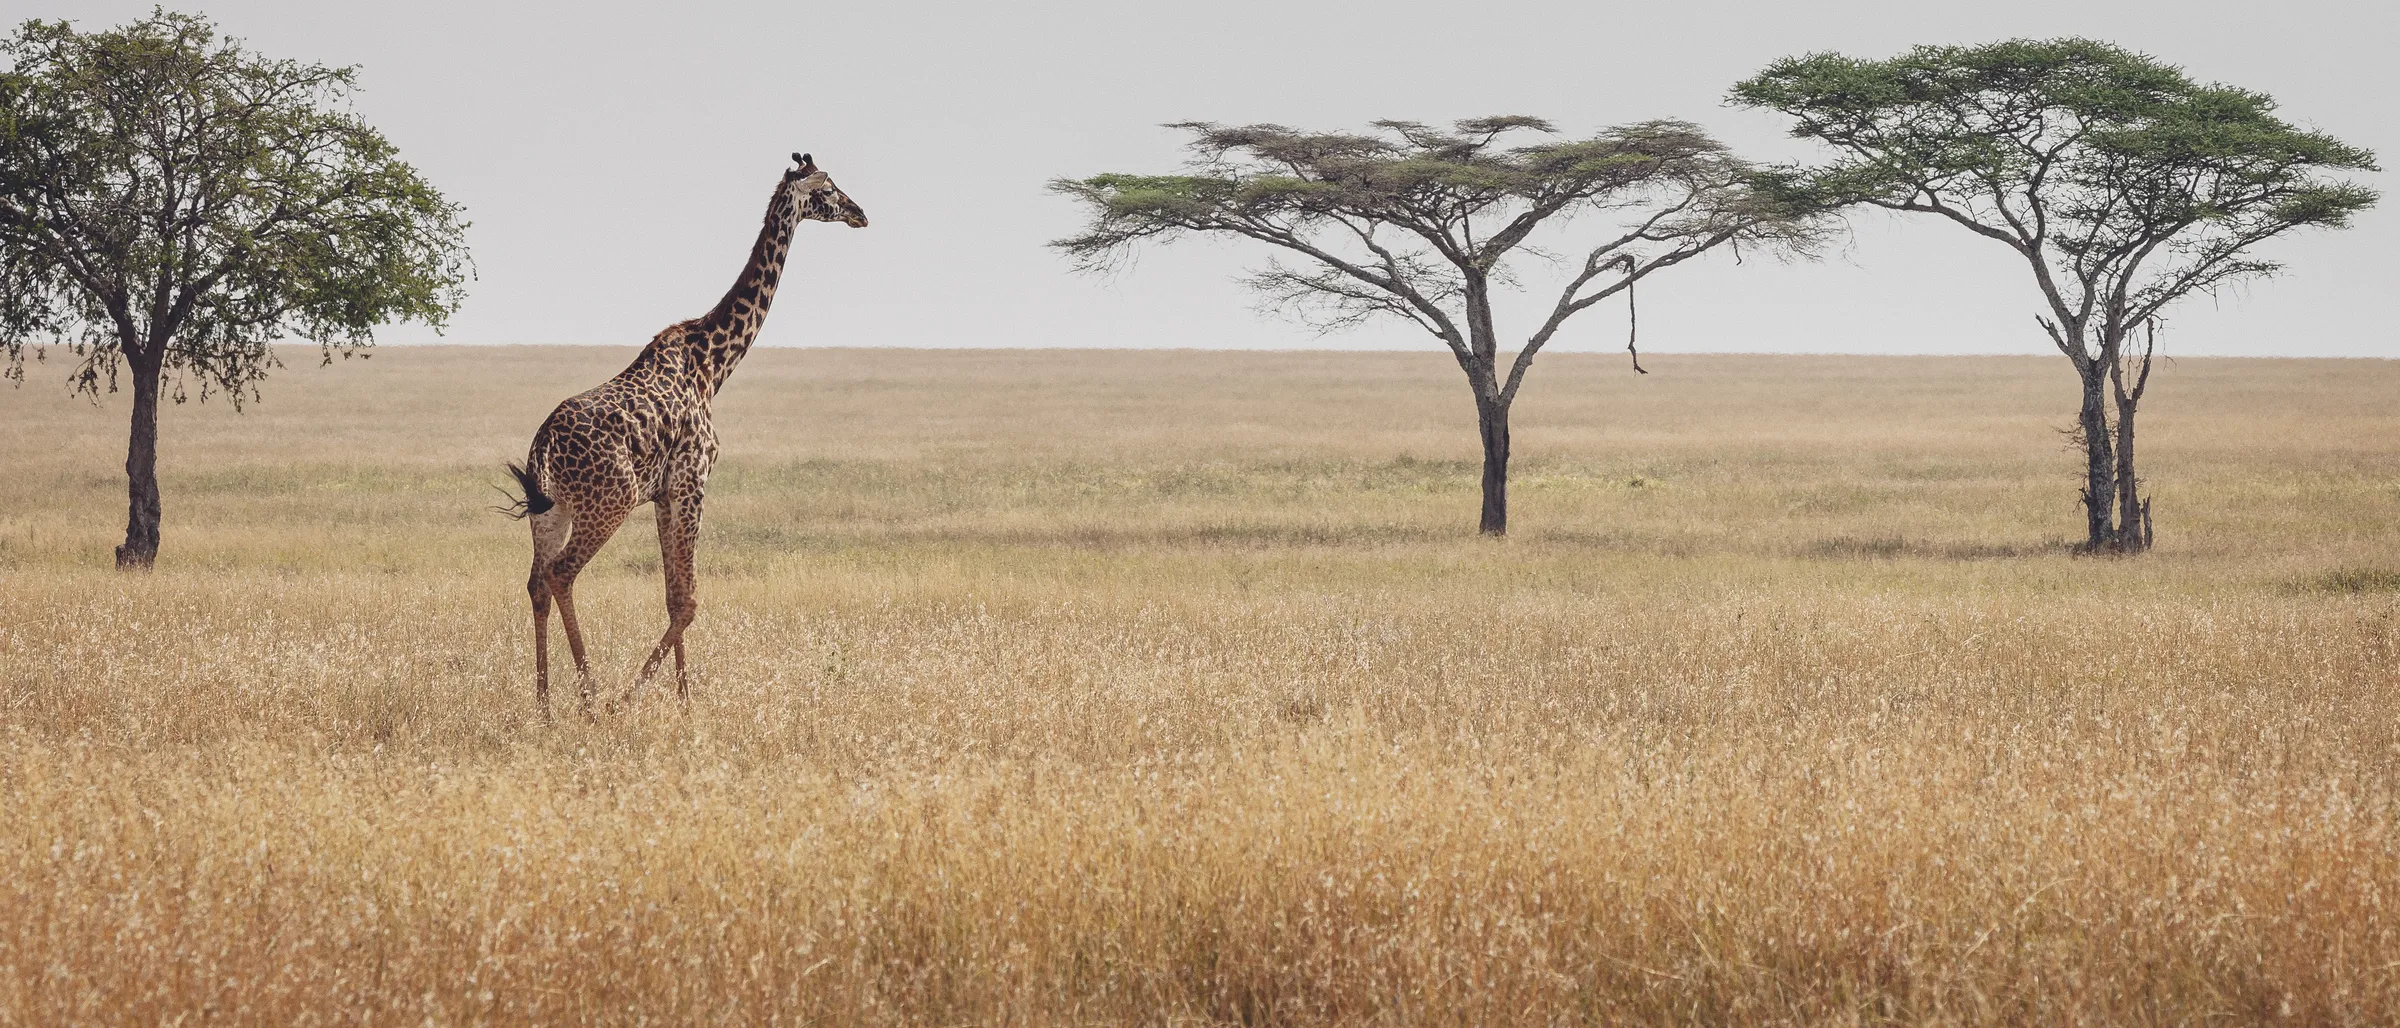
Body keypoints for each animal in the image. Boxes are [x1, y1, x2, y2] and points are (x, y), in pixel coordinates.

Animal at [499, 152, 866, 718]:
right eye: (827, 189)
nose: (860, 213)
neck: (714, 363)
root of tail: (543, 450)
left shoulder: (664, 492)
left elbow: (673, 596)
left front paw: (684, 698)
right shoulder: (693, 477)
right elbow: (690, 600)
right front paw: (637, 697)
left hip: (553, 511)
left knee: (537, 581)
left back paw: (543, 705)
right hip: (606, 503)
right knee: (562, 574)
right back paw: (592, 697)